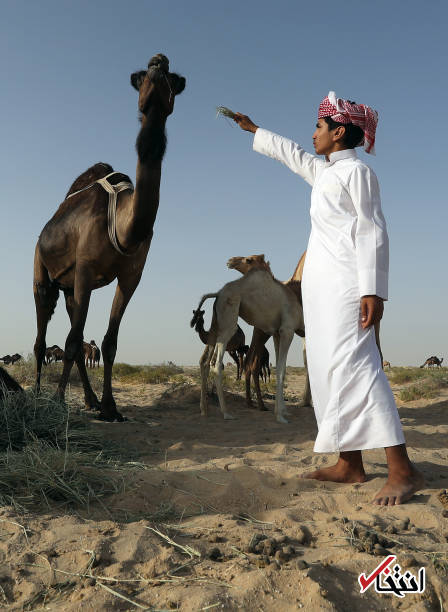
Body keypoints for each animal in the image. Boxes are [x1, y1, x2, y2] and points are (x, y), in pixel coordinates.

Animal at [32, 53, 185, 420]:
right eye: (141, 76)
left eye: (173, 79)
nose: (159, 60)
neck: (126, 228)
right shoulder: (87, 268)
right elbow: (72, 341)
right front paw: (58, 402)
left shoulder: (131, 276)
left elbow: (109, 343)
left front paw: (111, 407)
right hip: (41, 270)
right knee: (42, 337)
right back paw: (38, 395)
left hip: (69, 287)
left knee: (73, 328)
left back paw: (91, 400)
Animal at [191, 253, 306, 420]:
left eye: (249, 260)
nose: (230, 261)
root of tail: (218, 293)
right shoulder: (287, 330)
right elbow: (281, 370)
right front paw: (280, 416)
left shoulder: (277, 333)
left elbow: (281, 369)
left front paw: (282, 411)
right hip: (229, 323)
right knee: (217, 364)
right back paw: (226, 413)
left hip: (215, 324)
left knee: (205, 362)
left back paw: (204, 410)